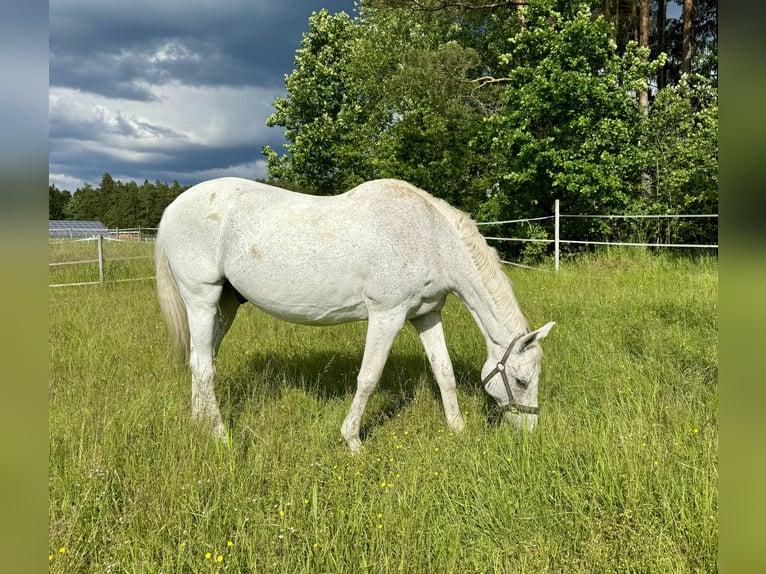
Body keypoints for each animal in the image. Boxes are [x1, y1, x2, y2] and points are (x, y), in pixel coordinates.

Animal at [156, 178, 556, 452]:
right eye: (521, 380)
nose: (529, 433)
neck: (431, 238)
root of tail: (173, 208)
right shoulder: (387, 315)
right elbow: (369, 377)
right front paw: (353, 441)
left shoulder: (427, 315)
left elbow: (444, 373)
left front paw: (457, 430)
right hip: (202, 298)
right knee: (203, 367)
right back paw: (220, 435)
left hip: (224, 306)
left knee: (202, 360)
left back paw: (198, 424)